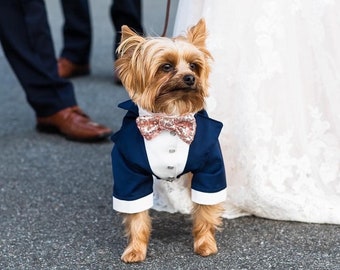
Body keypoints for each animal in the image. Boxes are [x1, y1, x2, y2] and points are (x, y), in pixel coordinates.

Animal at [111, 19, 227, 264]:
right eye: (166, 67)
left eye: (194, 66)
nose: (190, 78)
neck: (170, 117)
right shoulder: (129, 172)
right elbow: (136, 217)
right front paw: (135, 249)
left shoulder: (210, 168)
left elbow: (205, 211)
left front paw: (205, 244)